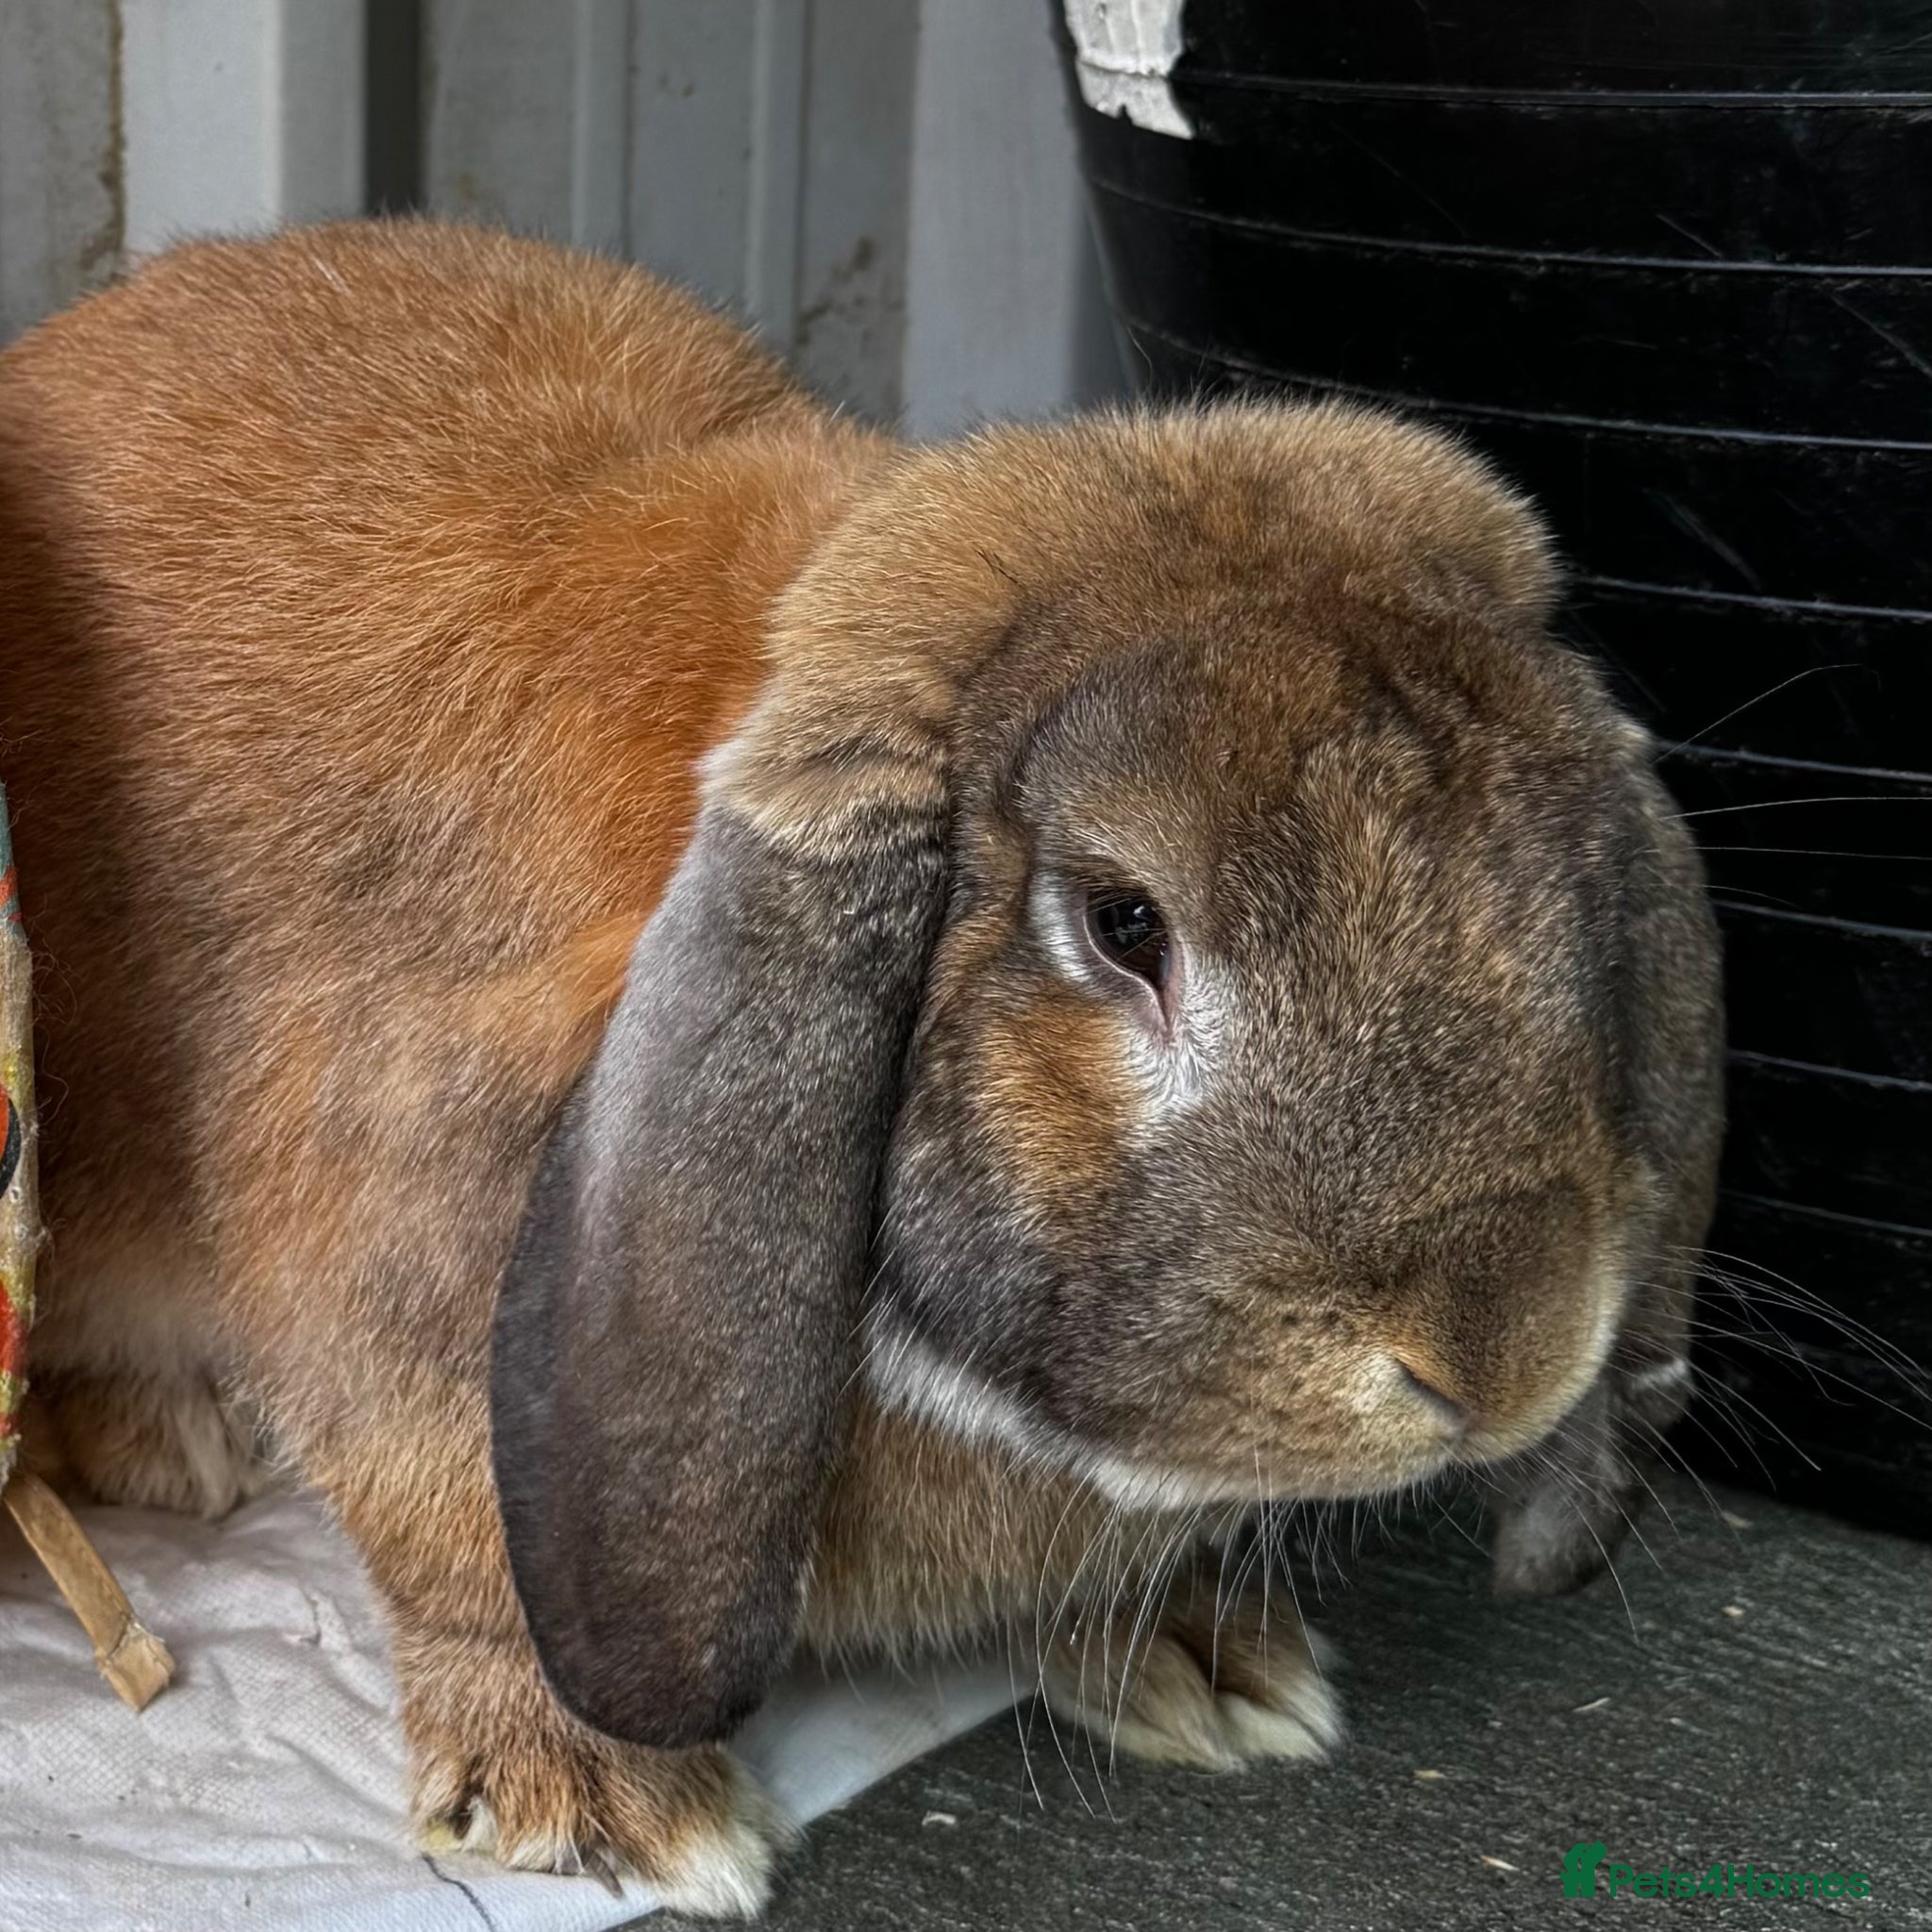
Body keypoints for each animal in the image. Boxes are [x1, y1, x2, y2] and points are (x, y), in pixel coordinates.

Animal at [0, 220, 1722, 1916]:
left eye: (1558, 874)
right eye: (1124, 924)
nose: (1509, 1356)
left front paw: (1204, 1665)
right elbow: (464, 1556)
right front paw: (604, 1808)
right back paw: (172, 1443)